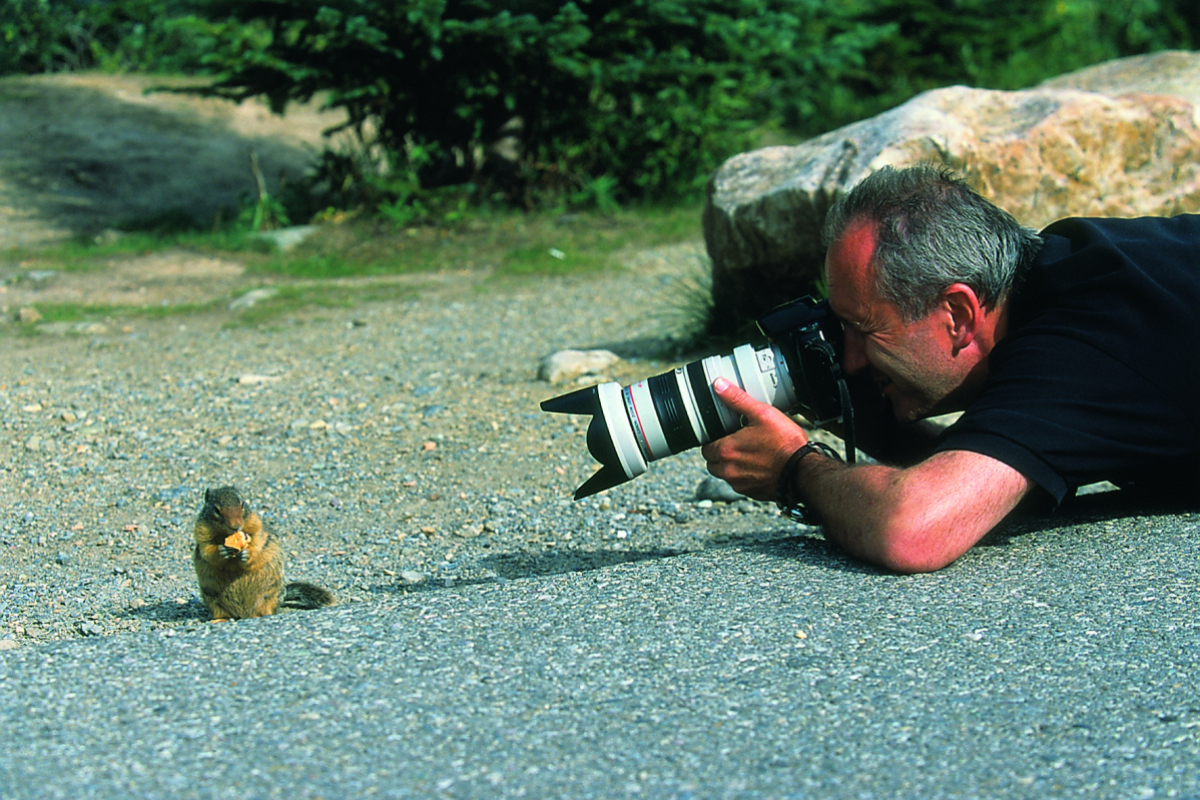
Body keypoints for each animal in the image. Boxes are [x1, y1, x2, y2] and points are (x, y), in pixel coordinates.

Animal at [192, 484, 336, 623]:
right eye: (216, 510)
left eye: (242, 505)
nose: (236, 526)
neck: (226, 535)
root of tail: (243, 615)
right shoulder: (202, 534)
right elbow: (207, 551)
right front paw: (221, 551)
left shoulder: (257, 527)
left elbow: (257, 543)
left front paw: (247, 554)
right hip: (212, 598)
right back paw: (219, 620)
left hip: (269, 595)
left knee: (265, 609)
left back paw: (261, 615)